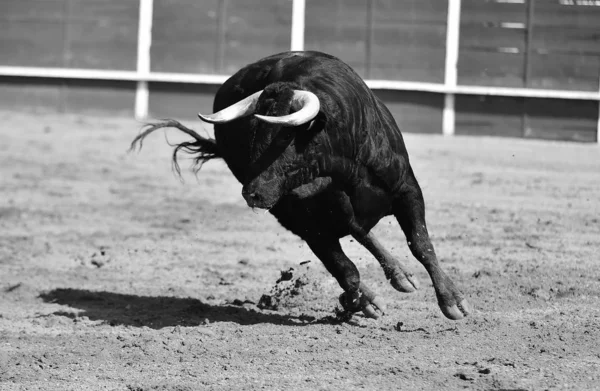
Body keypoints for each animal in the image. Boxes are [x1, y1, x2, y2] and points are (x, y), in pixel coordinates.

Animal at [130, 51, 468, 322]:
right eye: (250, 137)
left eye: (284, 138)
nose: (252, 193)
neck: (343, 166)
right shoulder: (306, 223)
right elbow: (347, 270)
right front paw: (361, 303)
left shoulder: (407, 190)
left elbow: (420, 244)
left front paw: (453, 302)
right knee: (353, 240)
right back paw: (384, 286)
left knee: (363, 232)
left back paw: (400, 277)